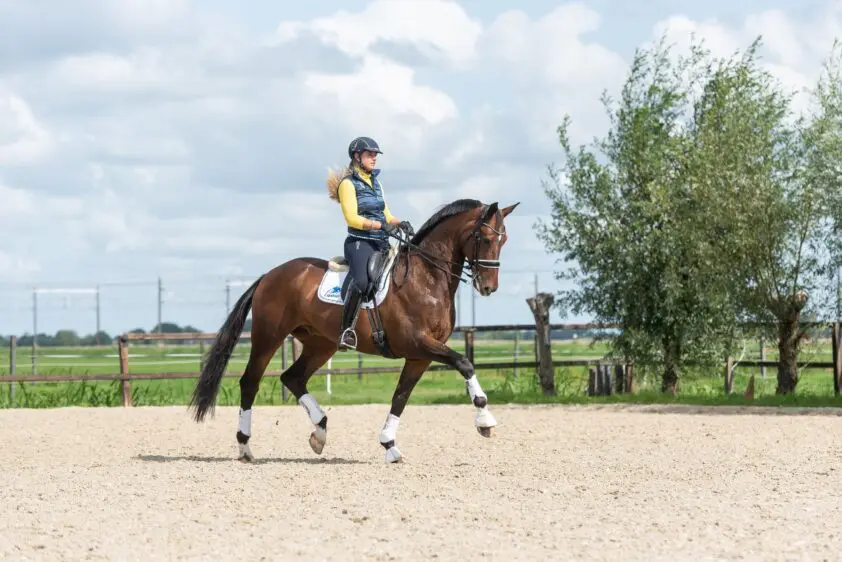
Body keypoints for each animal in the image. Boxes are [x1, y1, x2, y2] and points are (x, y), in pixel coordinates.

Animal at [188, 198, 519, 463]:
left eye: (504, 240)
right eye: (484, 237)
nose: (488, 287)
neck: (427, 278)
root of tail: (270, 274)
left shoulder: (420, 355)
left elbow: (401, 397)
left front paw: (389, 446)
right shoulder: (418, 343)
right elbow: (465, 363)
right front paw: (485, 420)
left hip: (321, 343)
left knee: (292, 377)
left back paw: (320, 431)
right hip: (269, 336)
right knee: (250, 382)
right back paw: (245, 448)